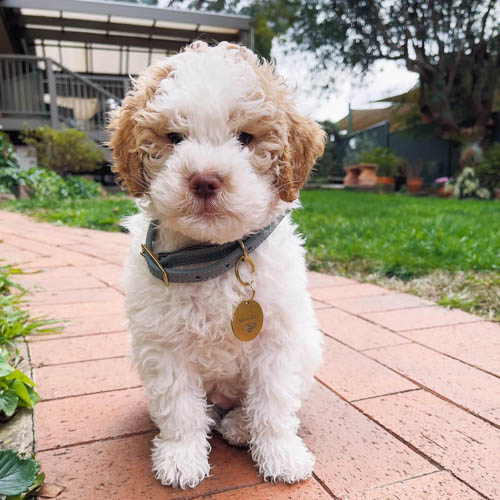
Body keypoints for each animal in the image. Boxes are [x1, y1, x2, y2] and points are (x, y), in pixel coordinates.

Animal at [108, 42, 326, 488]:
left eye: (245, 137)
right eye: (174, 137)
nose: (205, 179)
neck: (210, 258)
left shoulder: (277, 340)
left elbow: (273, 402)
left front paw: (281, 455)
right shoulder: (163, 345)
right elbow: (179, 407)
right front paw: (181, 458)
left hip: (309, 349)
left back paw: (240, 426)